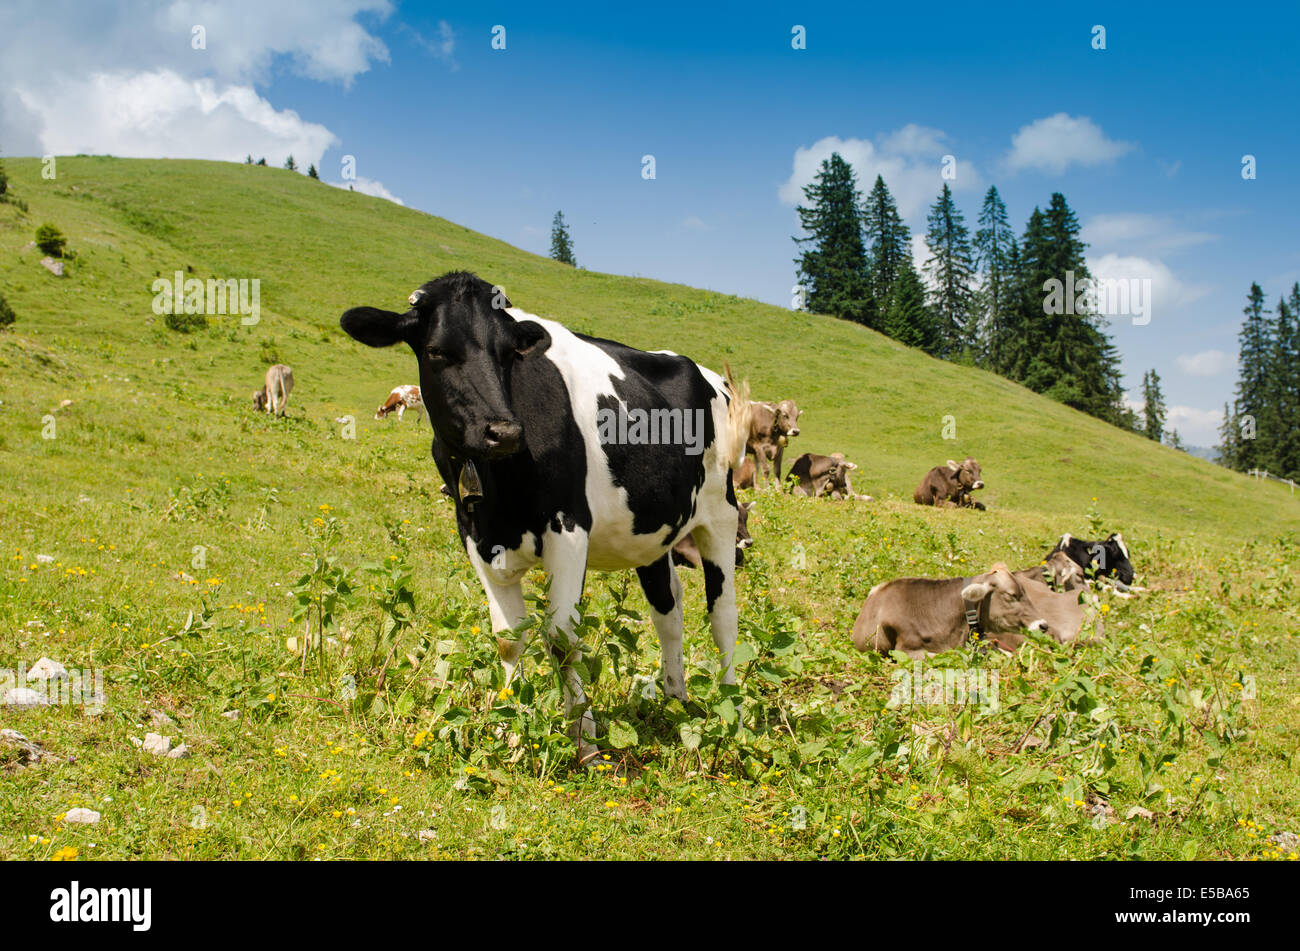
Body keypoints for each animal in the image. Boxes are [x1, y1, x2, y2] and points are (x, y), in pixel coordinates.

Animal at [339, 271, 752, 765]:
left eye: (508, 353)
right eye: (437, 350)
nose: (503, 432)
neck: (499, 487)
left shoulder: (569, 528)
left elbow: (561, 637)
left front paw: (584, 740)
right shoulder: (474, 534)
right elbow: (508, 638)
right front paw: (508, 729)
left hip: (721, 514)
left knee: (723, 615)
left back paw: (730, 715)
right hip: (652, 532)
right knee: (668, 608)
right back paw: (675, 699)